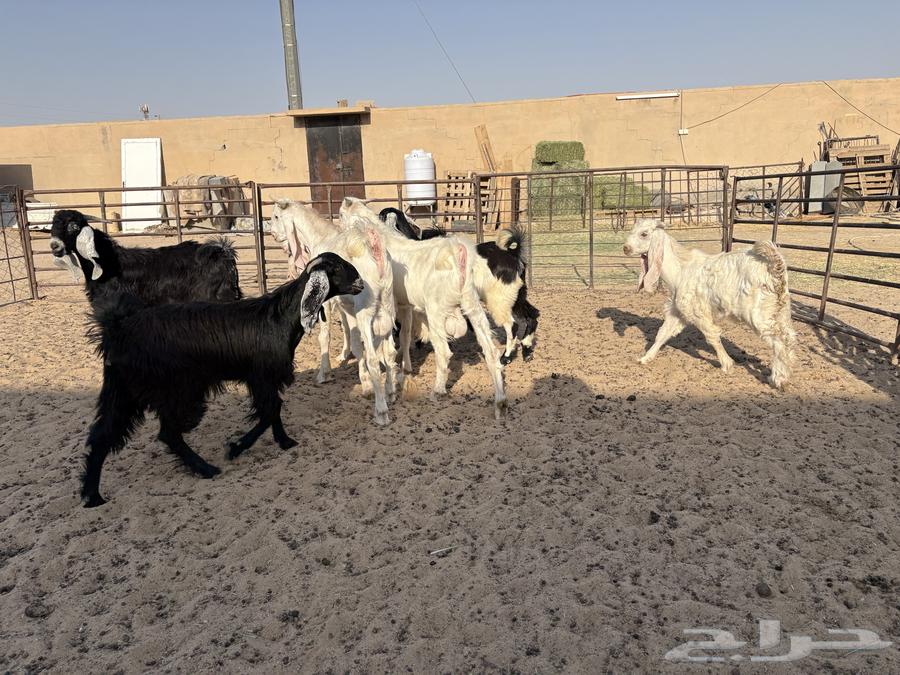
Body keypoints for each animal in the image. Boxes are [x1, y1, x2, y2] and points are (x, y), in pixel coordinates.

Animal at [80, 252, 364, 507]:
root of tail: (117, 330)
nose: (361, 283)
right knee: (167, 433)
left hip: (123, 392)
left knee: (104, 435)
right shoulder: (261, 376)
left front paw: (284, 442)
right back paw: (206, 469)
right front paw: (236, 447)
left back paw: (92, 496)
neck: (279, 318)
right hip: (176, 390)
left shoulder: (265, 379)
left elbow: (274, 411)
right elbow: (270, 411)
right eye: (337, 267)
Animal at [269, 199, 398, 425]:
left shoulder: (326, 302)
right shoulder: (346, 306)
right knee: (389, 352)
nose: (274, 235)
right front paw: (362, 380)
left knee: (374, 359)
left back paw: (381, 412)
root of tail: (375, 249)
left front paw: (324, 373)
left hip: (367, 311)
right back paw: (390, 393)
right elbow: (351, 337)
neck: (320, 238)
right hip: (387, 307)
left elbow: (325, 336)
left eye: (276, 216)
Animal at [341, 197, 508, 418]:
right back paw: (500, 403)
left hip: (436, 310)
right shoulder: (404, 305)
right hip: (472, 305)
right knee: (491, 352)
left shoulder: (396, 307)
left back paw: (438, 391)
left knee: (444, 352)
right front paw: (404, 368)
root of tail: (457, 253)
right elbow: (404, 337)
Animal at [381, 208, 540, 364]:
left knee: (512, 326)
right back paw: (526, 351)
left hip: (498, 300)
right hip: (516, 295)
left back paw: (505, 357)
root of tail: (513, 254)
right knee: (533, 315)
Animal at [622, 218, 796, 389]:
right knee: (788, 337)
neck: (681, 270)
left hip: (758, 313)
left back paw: (778, 379)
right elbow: (663, 334)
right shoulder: (678, 310)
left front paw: (727, 364)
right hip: (779, 308)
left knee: (778, 340)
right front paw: (646, 358)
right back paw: (785, 372)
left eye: (644, 234)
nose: (625, 248)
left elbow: (712, 336)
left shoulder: (698, 312)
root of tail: (773, 263)